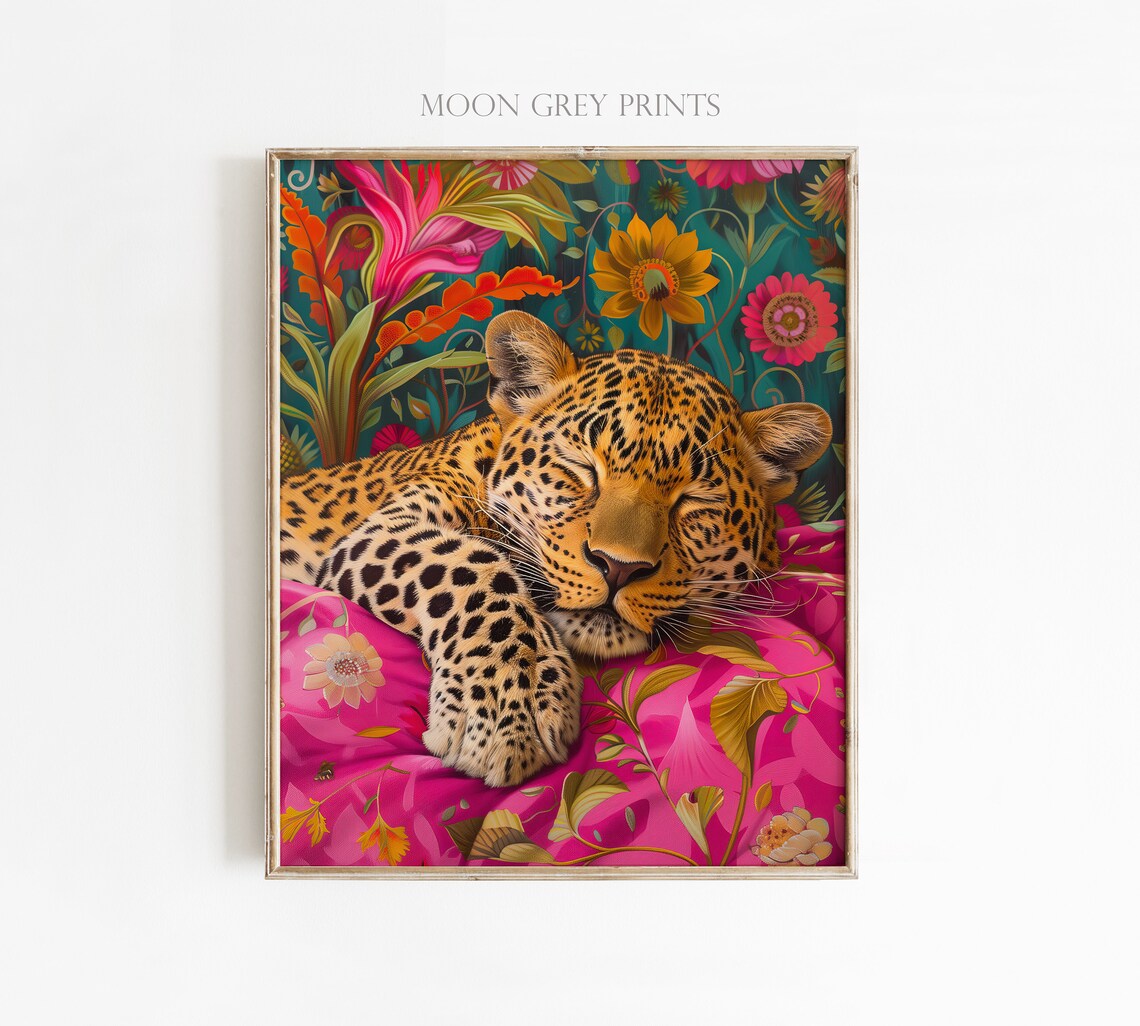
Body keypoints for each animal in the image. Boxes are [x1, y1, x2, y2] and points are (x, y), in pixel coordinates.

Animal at [279, 310, 832, 787]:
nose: (618, 567)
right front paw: (508, 710)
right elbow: (470, 565)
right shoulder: (383, 529)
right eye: (581, 468)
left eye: (692, 500)